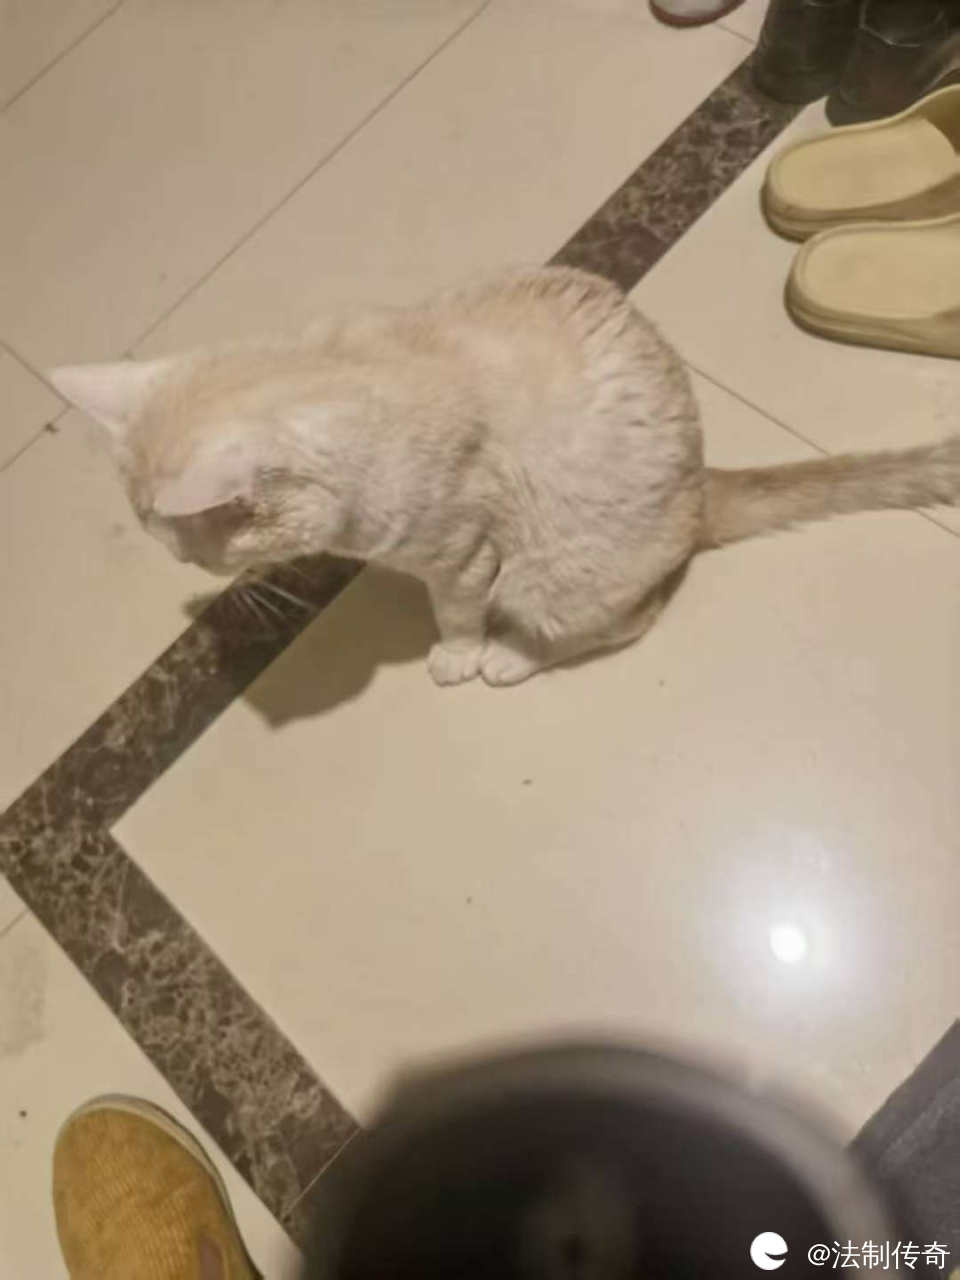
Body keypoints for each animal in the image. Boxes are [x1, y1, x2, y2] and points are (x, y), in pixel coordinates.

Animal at [50, 266, 960, 687]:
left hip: (561, 576)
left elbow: (454, 611)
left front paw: (458, 651)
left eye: (185, 543)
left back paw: (513, 655)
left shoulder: (463, 554)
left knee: (623, 621)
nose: (176, 563)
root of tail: (705, 482)